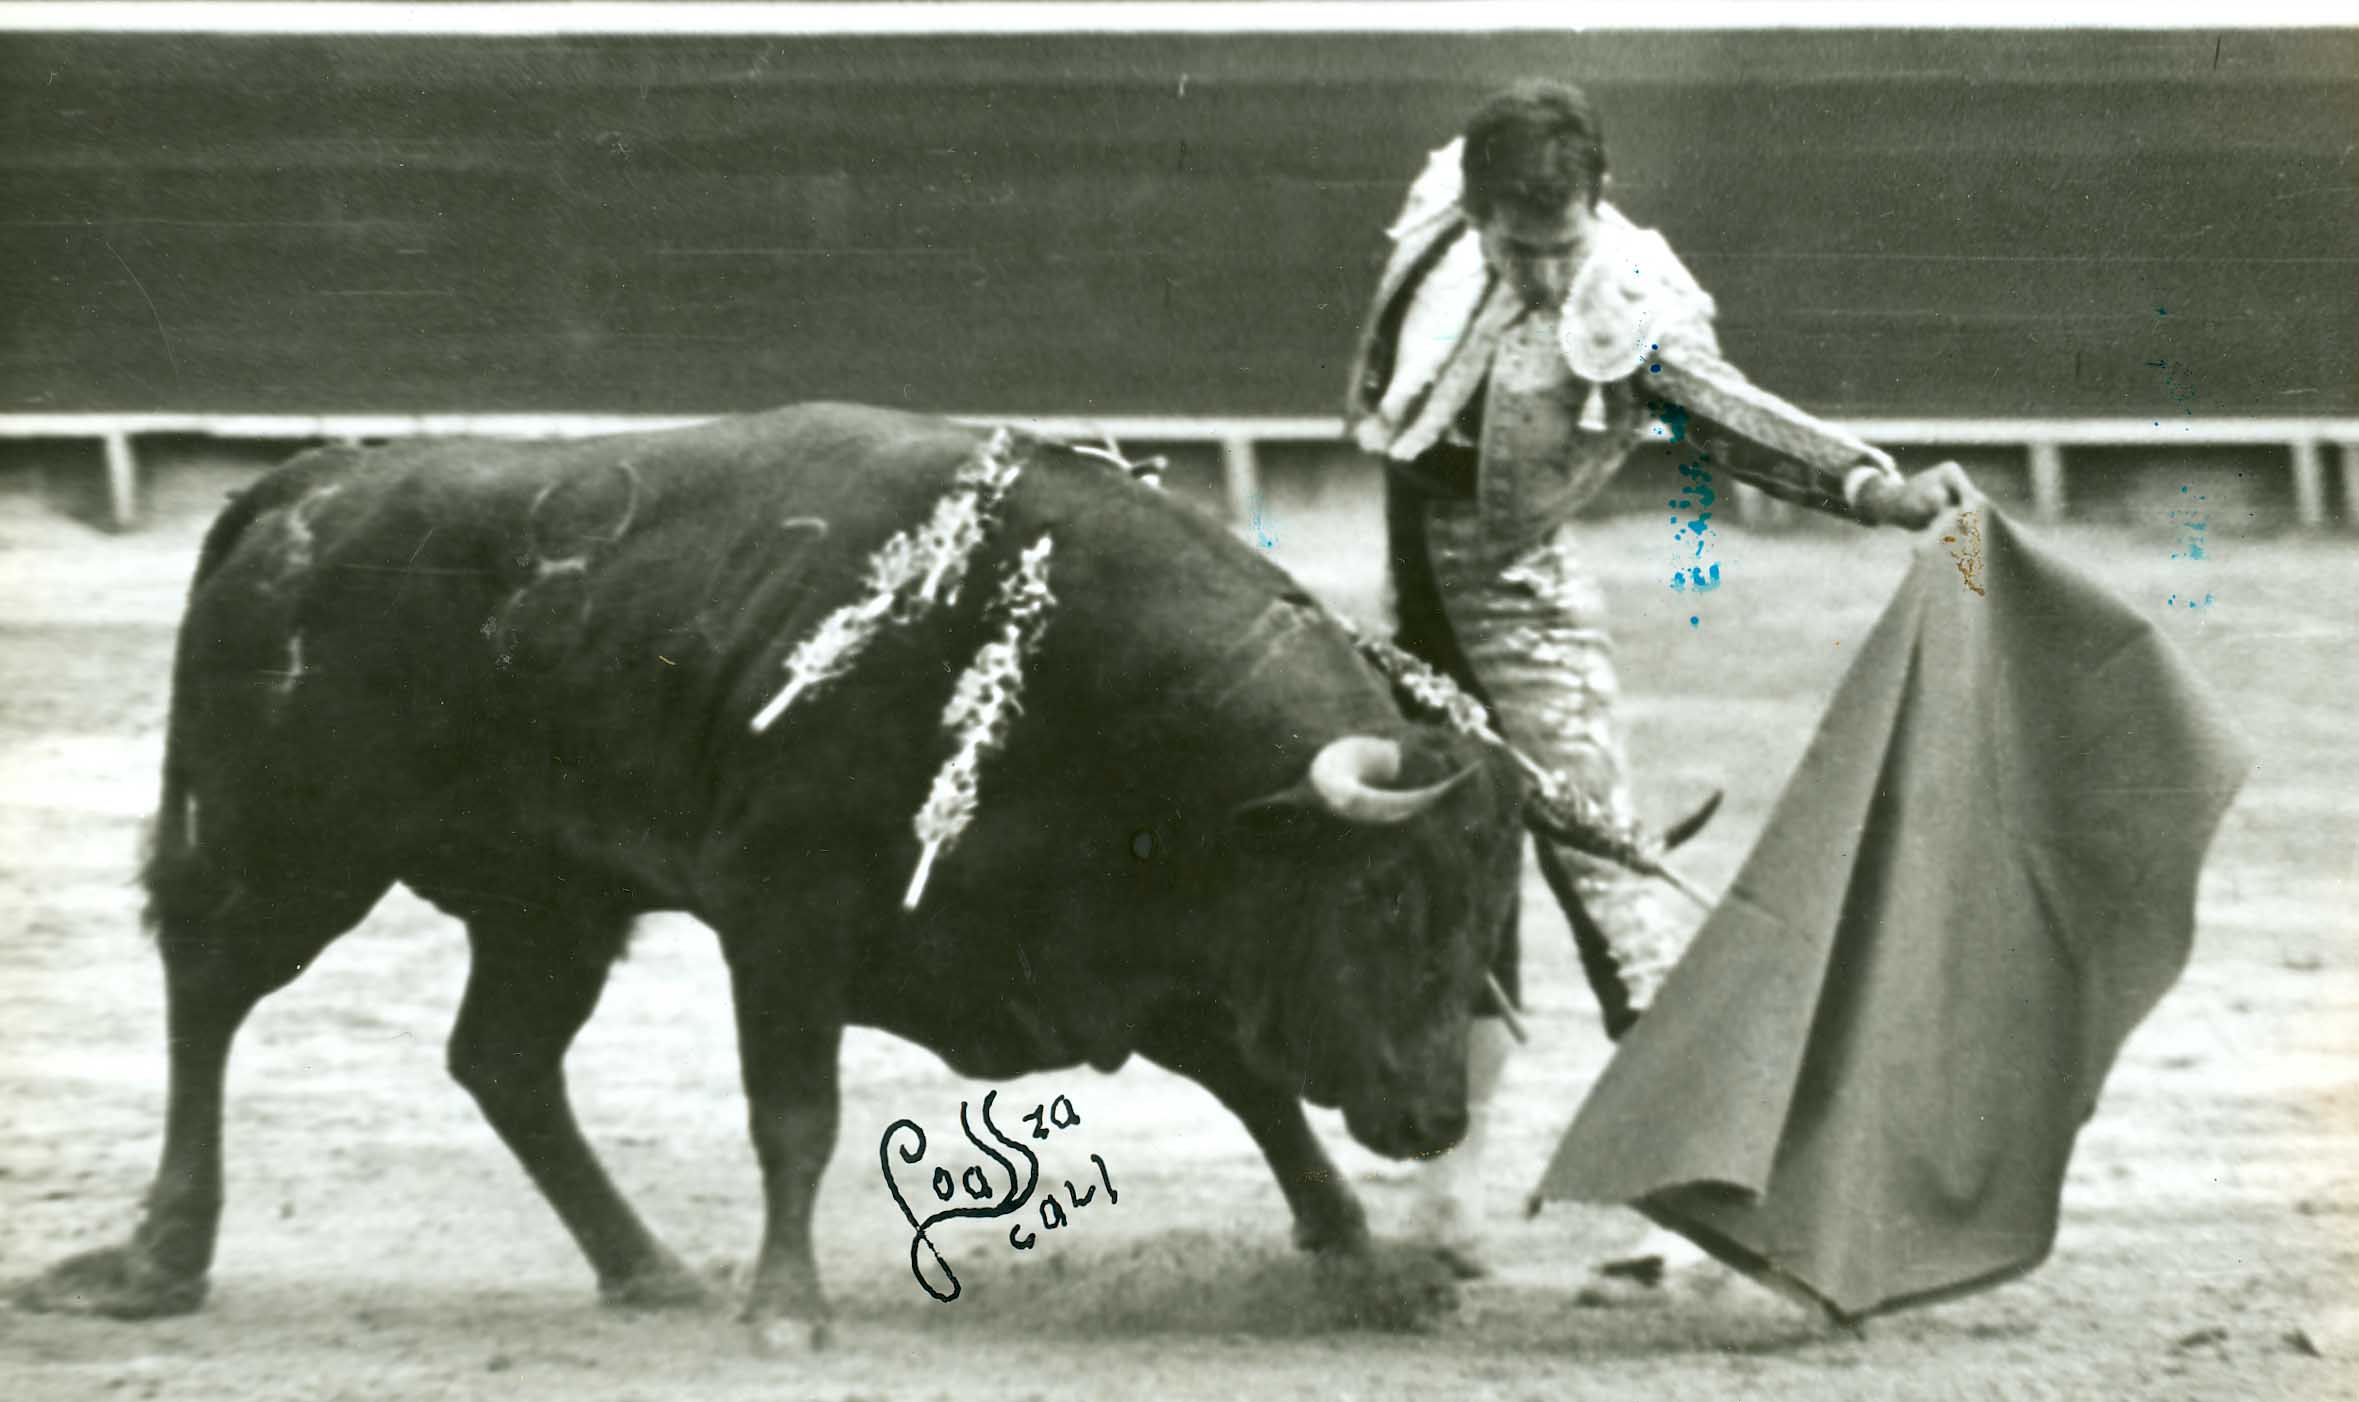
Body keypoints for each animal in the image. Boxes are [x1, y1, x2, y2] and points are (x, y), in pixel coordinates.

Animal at [16, 403, 1526, 1344]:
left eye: (1489, 912)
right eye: (1383, 896)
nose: (1434, 1114)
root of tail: (304, 488)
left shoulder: (1109, 944)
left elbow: (1253, 1087)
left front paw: (1361, 1255)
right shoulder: (784, 919)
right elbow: (797, 1110)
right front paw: (788, 1305)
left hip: (545, 902)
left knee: (502, 1057)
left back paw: (644, 1270)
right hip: (292, 845)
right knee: (210, 989)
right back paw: (159, 1261)